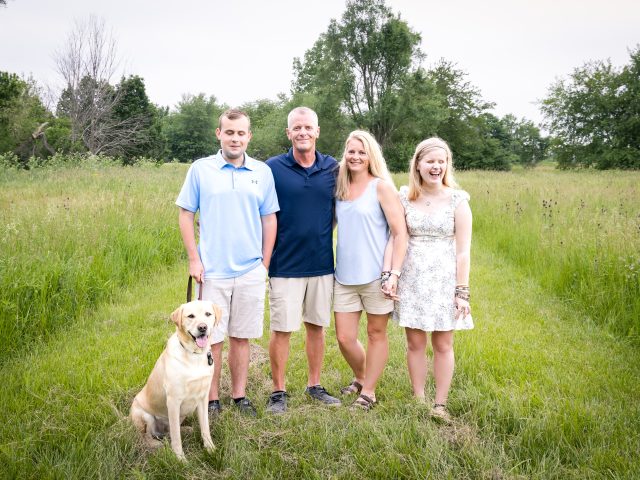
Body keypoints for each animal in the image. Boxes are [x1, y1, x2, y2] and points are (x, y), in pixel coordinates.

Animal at [129, 300, 221, 462]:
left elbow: (205, 427)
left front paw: (210, 449)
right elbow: (176, 438)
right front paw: (180, 459)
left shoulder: (203, 398)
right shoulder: (173, 401)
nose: (202, 327)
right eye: (191, 316)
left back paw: (187, 430)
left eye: (208, 314)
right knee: (147, 437)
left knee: (168, 432)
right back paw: (157, 444)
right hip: (144, 416)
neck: (194, 355)